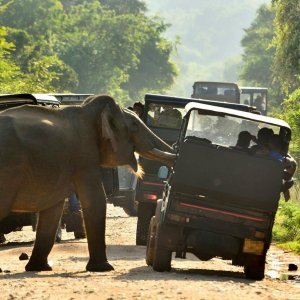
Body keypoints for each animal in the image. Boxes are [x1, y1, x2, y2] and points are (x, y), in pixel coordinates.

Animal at [0, 94, 176, 272]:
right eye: (134, 125)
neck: (87, 111)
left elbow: (53, 209)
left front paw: (40, 268)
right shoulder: (85, 155)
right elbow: (95, 199)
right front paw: (105, 268)